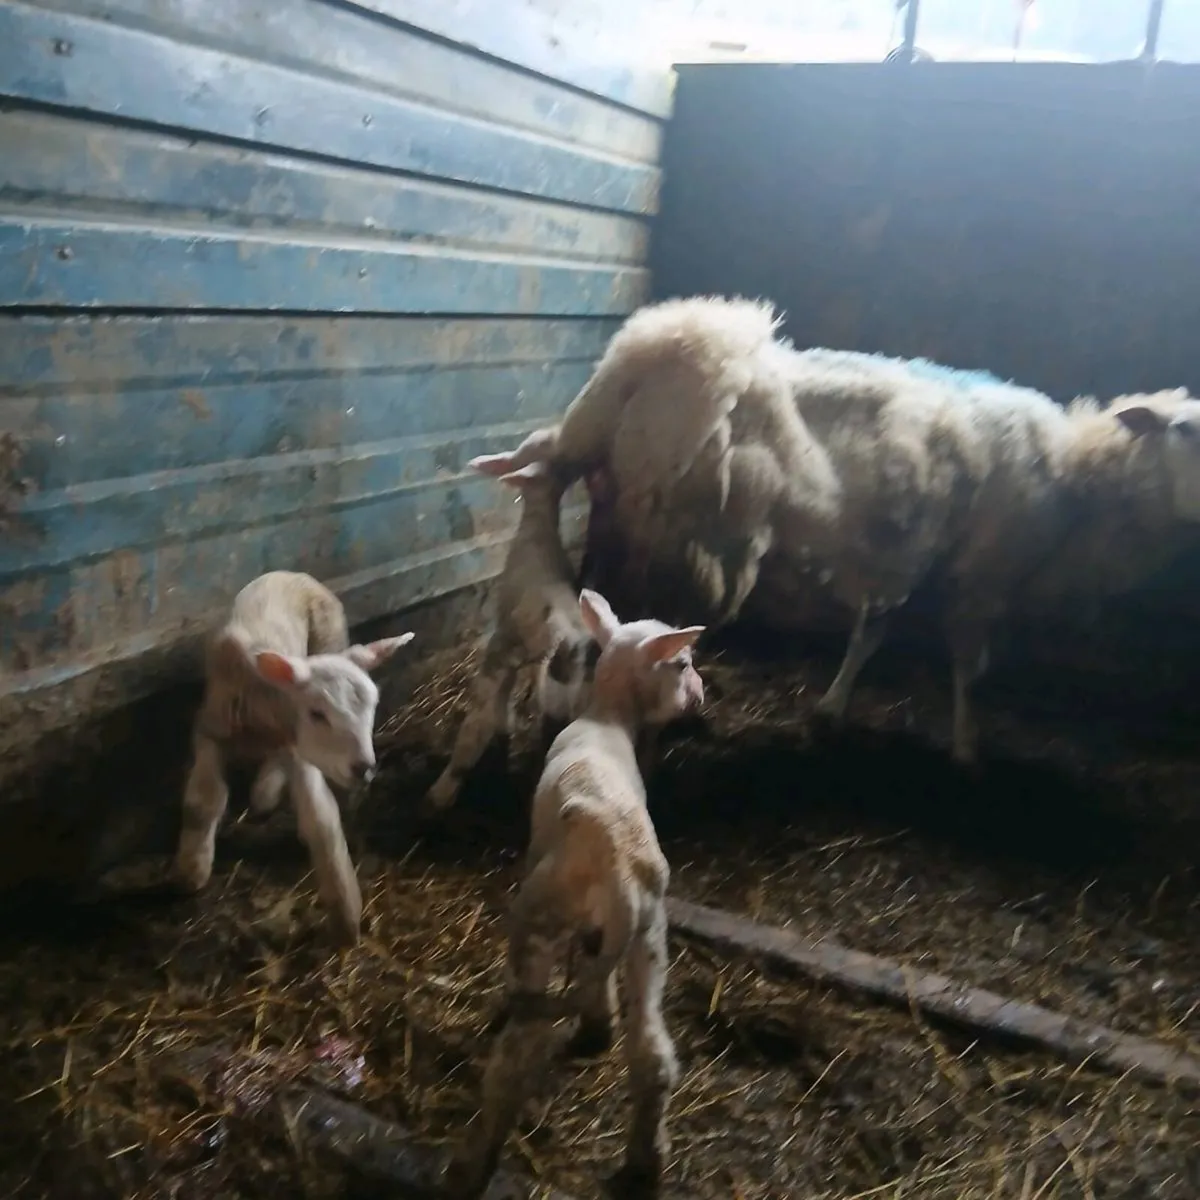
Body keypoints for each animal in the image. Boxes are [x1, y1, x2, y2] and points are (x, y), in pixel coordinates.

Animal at [173, 570, 414, 943]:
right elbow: (204, 800)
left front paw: (345, 914)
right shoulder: (209, 730)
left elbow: (321, 818)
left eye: (374, 704)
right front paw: (193, 870)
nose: (363, 768)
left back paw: (266, 789)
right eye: (316, 713)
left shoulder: (298, 751)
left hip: (330, 639)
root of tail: (295, 575)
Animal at [442, 588, 705, 1200]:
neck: (606, 720)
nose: (701, 693)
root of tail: (618, 869)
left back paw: (472, 1167)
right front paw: (595, 1021)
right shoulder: (599, 932)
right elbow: (592, 975)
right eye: (682, 663)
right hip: (649, 933)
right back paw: (646, 1163)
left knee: (514, 1058)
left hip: (538, 914)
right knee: (654, 1056)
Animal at [486, 295, 1200, 764]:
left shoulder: (906, 561)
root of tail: (629, 369)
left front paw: (831, 709)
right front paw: (966, 747)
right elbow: (968, 666)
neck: (1076, 479)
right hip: (676, 531)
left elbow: (871, 634)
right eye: (1186, 430)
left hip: (619, 511)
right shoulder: (980, 575)